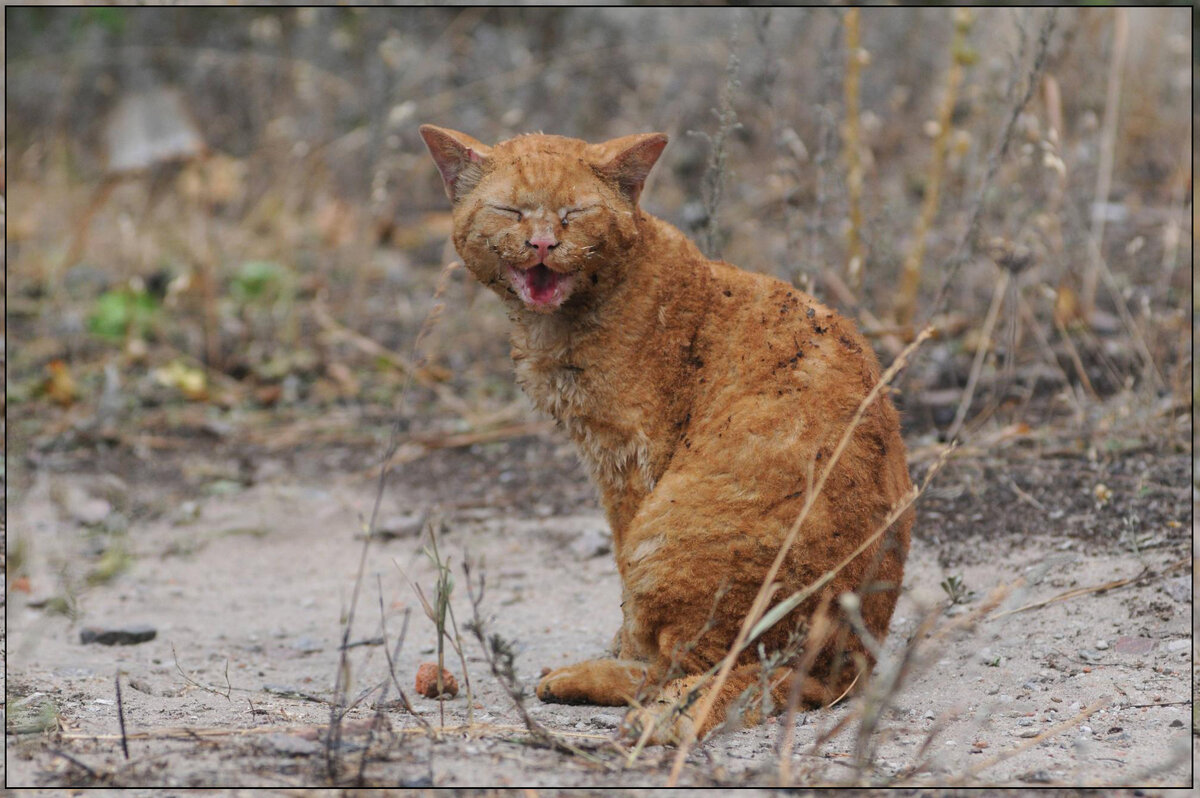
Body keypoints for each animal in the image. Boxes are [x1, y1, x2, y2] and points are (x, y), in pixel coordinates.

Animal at [420, 123, 907, 739]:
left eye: (574, 213)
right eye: (511, 211)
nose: (542, 245)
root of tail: (839, 670)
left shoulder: (628, 457)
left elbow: (626, 590)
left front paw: (618, 649)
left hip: (671, 538)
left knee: (690, 668)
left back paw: (592, 685)